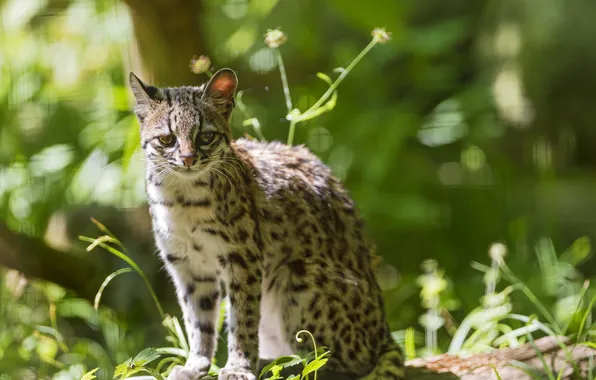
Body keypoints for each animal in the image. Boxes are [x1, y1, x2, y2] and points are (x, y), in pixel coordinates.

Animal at [128, 69, 402, 380]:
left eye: (206, 136)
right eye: (166, 139)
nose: (187, 159)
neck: (181, 196)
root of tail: (386, 333)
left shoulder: (243, 260)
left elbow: (243, 319)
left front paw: (238, 367)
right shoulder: (188, 267)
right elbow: (198, 321)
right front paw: (195, 365)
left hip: (299, 275)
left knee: (336, 364)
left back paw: (279, 363)